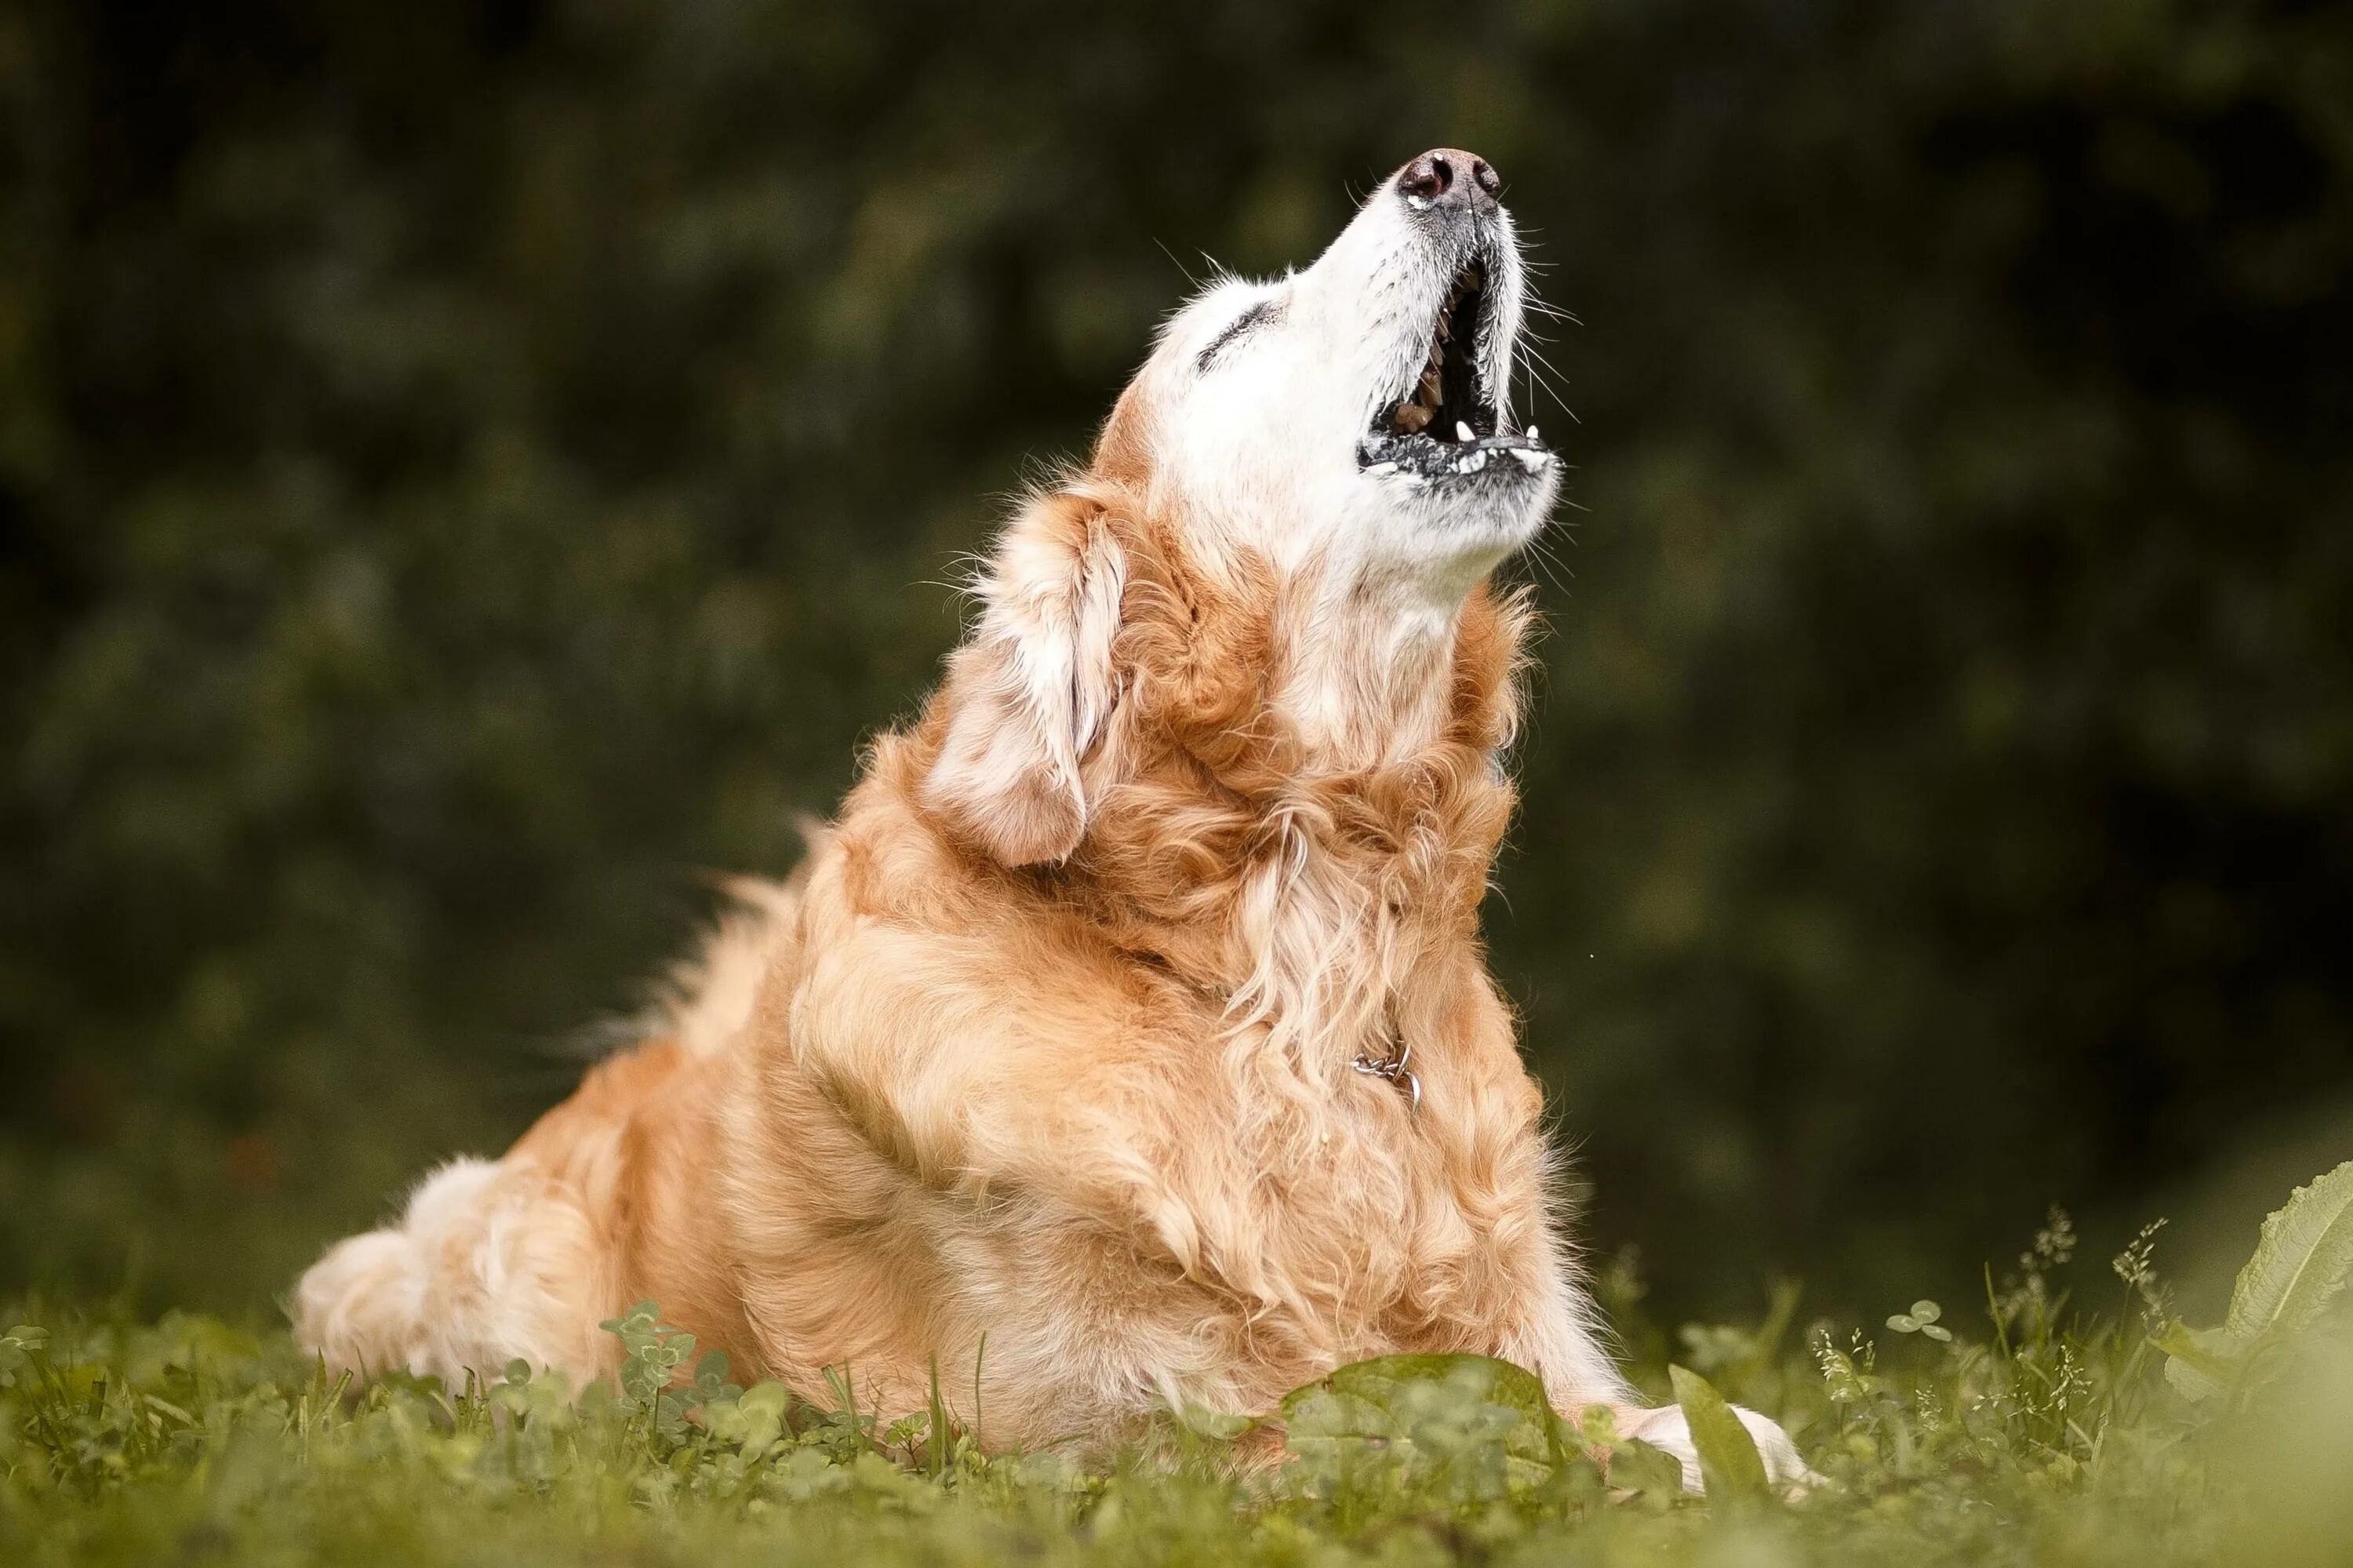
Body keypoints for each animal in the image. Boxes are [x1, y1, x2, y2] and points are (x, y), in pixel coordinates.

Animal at [289, 153, 1798, 1487]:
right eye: (1232, 335)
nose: (1459, 169)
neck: (1283, 959)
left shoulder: (1525, 1330)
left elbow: (1647, 1412)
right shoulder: (1105, 1428)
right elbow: (1408, 1431)